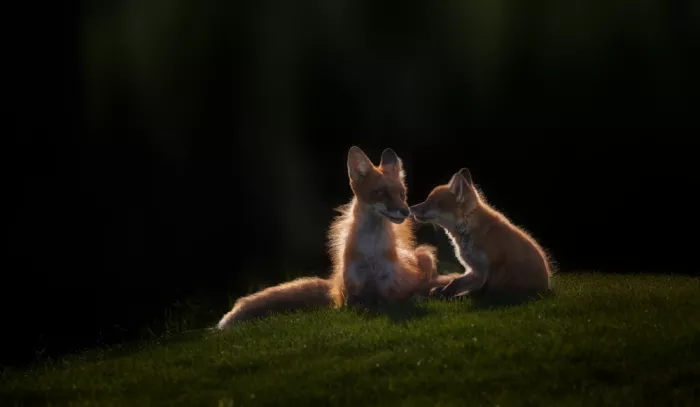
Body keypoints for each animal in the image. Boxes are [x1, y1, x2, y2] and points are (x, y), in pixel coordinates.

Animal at [216, 146, 458, 329]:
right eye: (381, 193)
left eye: (402, 194)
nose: (406, 211)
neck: (370, 253)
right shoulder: (349, 297)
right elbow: (360, 306)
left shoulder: (393, 289)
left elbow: (401, 298)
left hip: (425, 255)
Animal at [409, 168, 552, 299]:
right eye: (427, 199)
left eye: (432, 202)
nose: (410, 207)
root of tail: (547, 286)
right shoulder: (476, 270)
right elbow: (455, 281)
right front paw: (445, 292)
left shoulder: (494, 267)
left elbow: (481, 291)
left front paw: (459, 296)